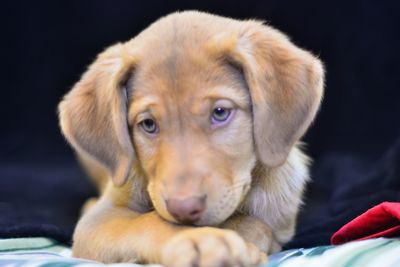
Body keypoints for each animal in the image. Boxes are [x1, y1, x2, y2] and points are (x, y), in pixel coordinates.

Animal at [57, 10, 324, 267]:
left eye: (220, 112)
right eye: (148, 124)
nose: (184, 209)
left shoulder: (280, 219)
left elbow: (256, 224)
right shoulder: (97, 221)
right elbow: (148, 222)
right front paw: (200, 240)